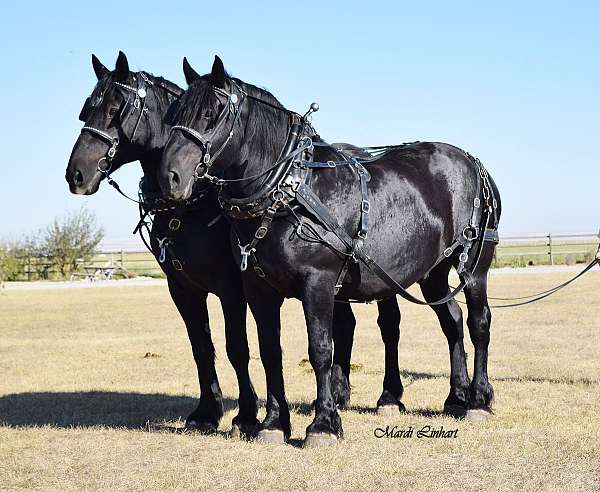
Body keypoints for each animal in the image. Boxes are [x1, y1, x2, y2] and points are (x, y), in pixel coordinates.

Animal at [64, 51, 404, 434]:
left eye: (115, 109)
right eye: (86, 110)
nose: (76, 174)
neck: (194, 204)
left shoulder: (232, 288)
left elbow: (237, 347)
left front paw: (246, 414)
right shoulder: (182, 288)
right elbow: (202, 347)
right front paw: (206, 412)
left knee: (388, 326)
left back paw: (388, 397)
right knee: (345, 325)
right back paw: (340, 392)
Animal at [158, 56, 502, 446]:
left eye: (211, 113)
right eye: (173, 114)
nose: (169, 177)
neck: (290, 190)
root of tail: (473, 162)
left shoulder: (318, 284)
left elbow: (321, 349)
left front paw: (323, 424)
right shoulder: (257, 290)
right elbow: (269, 351)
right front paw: (273, 423)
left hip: (474, 266)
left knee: (478, 323)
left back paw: (478, 399)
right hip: (433, 273)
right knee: (452, 322)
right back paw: (456, 398)